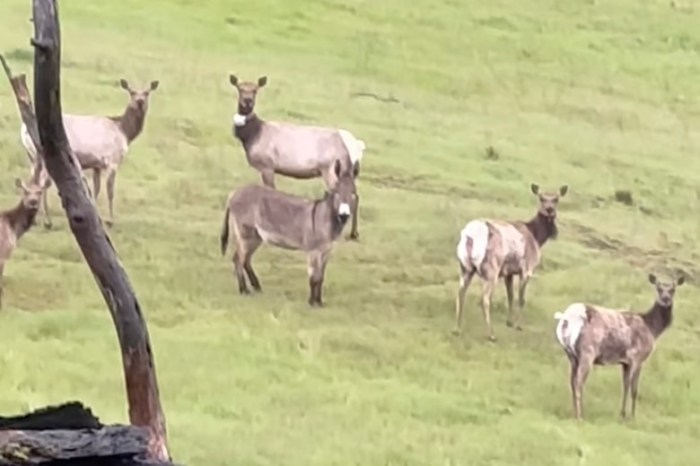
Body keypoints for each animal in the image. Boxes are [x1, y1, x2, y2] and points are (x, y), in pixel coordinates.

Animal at [20, 78, 159, 228]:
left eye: (147, 93)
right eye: (132, 92)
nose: (140, 101)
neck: (124, 132)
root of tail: (24, 129)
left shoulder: (96, 164)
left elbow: (96, 190)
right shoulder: (112, 160)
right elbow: (110, 191)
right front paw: (110, 221)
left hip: (33, 156)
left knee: (32, 180)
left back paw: (35, 218)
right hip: (45, 155)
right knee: (42, 182)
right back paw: (47, 221)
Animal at [220, 159, 357, 306]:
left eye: (353, 193)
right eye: (336, 192)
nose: (344, 215)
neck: (326, 218)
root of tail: (233, 193)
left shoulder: (326, 252)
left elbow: (320, 277)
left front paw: (319, 302)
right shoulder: (314, 251)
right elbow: (314, 277)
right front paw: (311, 303)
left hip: (256, 237)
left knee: (246, 260)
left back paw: (256, 287)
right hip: (246, 235)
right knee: (238, 259)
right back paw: (244, 290)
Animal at [228, 74, 365, 240]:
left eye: (255, 90)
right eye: (240, 88)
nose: (247, 101)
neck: (252, 136)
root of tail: (357, 146)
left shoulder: (267, 165)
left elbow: (271, 189)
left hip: (332, 168)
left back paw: (352, 232)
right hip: (346, 170)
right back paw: (353, 232)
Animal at [453, 183, 569, 341]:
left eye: (556, 199)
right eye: (541, 198)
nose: (549, 210)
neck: (537, 237)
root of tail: (470, 235)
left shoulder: (509, 272)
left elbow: (510, 296)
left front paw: (509, 322)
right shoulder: (526, 270)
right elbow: (521, 298)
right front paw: (518, 326)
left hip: (465, 267)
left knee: (460, 293)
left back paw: (457, 329)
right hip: (491, 270)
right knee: (485, 299)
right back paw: (491, 334)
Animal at [553, 273, 685, 420]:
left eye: (673, 289)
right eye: (658, 288)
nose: (666, 299)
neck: (652, 328)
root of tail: (567, 317)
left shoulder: (625, 362)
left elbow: (625, 386)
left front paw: (622, 414)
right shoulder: (637, 357)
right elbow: (634, 389)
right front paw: (633, 416)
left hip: (571, 355)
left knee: (572, 382)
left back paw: (575, 413)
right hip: (588, 351)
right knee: (579, 382)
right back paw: (580, 416)